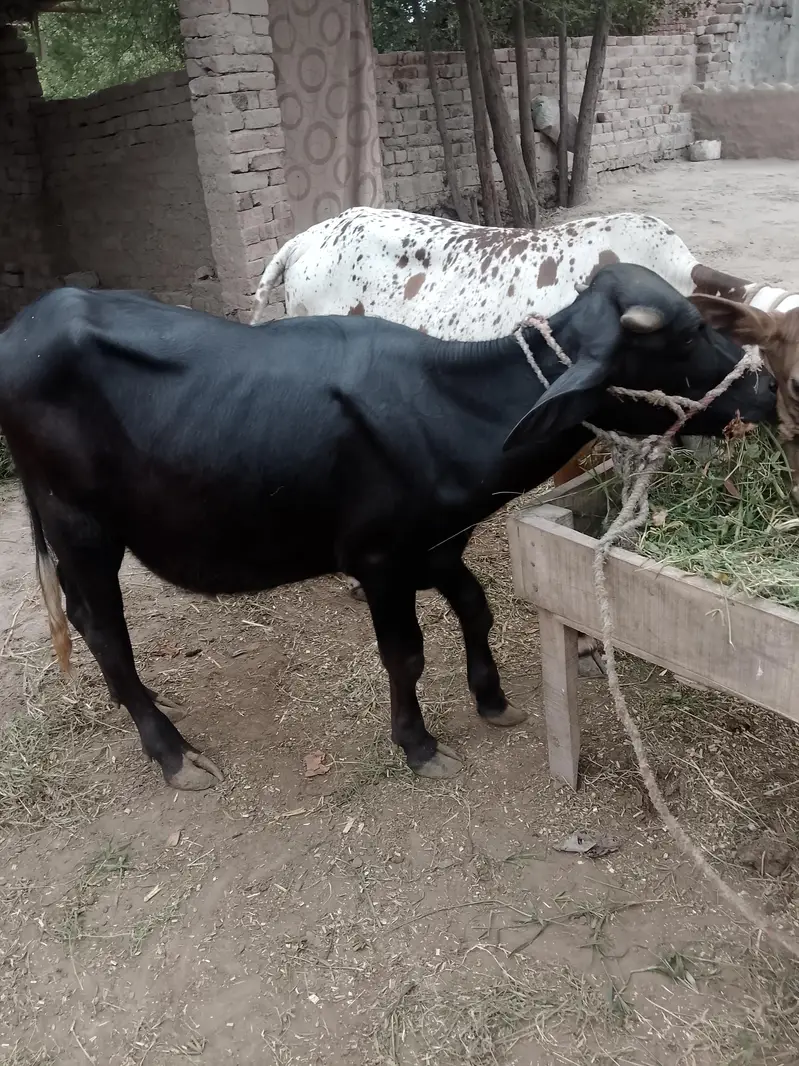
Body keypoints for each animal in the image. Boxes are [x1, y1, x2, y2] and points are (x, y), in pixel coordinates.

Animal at [0, 265, 776, 792]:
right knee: (102, 628)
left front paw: (492, 699)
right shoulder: (379, 561)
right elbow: (405, 654)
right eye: (686, 334)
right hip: (79, 525)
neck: (447, 408)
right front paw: (418, 743)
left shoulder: (436, 546)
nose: (767, 386)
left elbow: (476, 608)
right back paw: (171, 751)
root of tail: (29, 322)